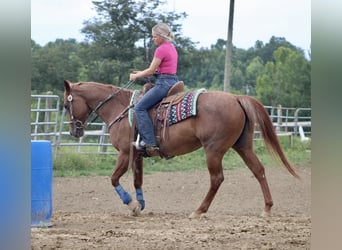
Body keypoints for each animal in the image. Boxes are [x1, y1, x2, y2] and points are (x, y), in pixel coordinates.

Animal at [63, 79, 300, 218]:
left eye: (66, 104)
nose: (75, 131)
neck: (121, 109)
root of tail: (235, 98)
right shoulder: (137, 154)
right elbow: (138, 180)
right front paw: (140, 205)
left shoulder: (124, 153)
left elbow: (113, 179)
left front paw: (131, 204)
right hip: (242, 146)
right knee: (258, 170)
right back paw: (267, 207)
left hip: (213, 150)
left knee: (217, 179)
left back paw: (199, 210)